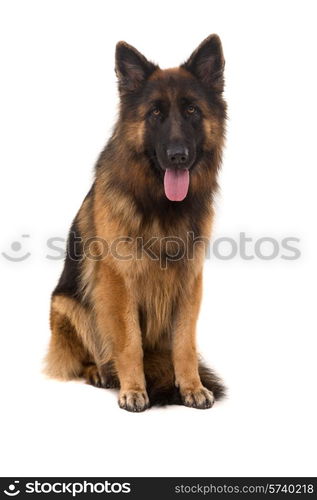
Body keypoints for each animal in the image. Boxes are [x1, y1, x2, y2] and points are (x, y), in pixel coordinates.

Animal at [45, 34, 226, 410]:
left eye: (192, 111)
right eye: (155, 113)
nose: (177, 156)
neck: (160, 205)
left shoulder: (190, 279)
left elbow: (184, 343)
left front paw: (191, 386)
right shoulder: (118, 282)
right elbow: (129, 342)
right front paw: (132, 389)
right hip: (67, 305)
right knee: (85, 357)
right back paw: (101, 372)